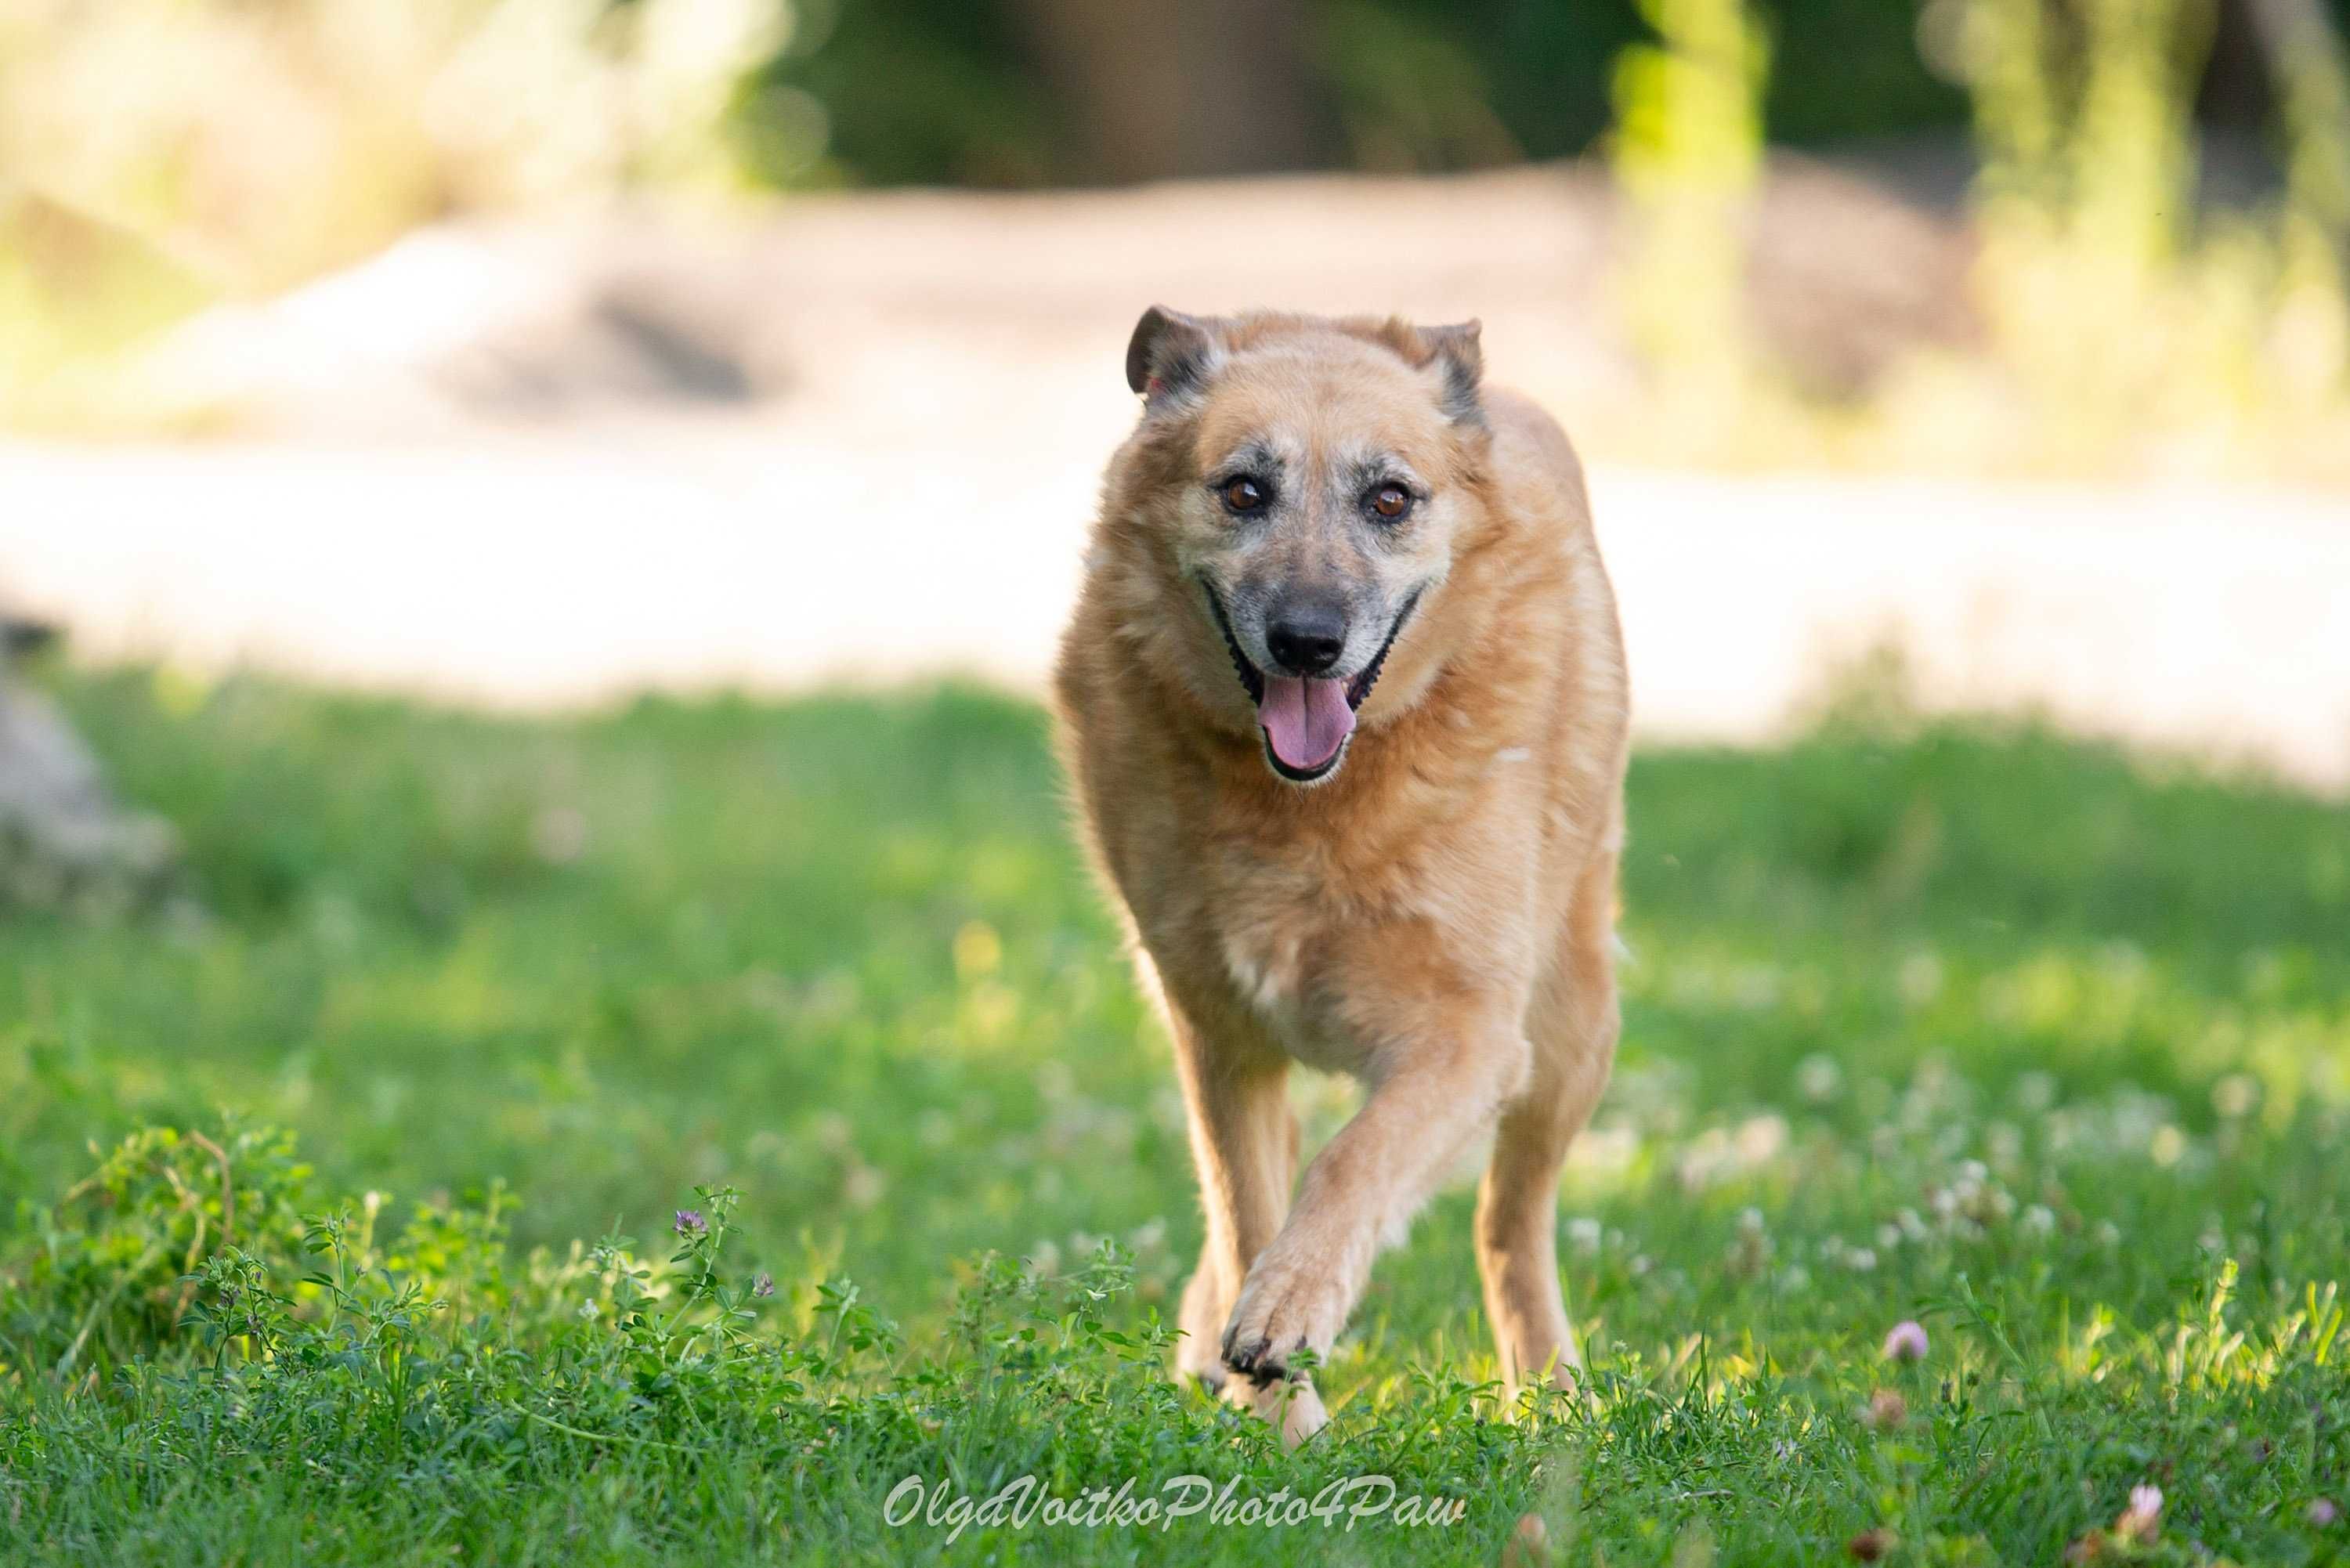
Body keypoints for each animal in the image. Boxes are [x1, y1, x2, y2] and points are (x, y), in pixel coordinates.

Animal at [1058, 305, 1626, 1447]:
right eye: (1243, 490)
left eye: (1389, 499)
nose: (1309, 642)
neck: (1313, 806)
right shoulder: (1218, 1031)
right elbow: (1247, 1206)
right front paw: (1281, 1417)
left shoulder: (1468, 1035)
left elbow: (1352, 1159)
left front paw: (1290, 1308)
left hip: (1571, 1028)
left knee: (1510, 1221)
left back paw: (1548, 1389)